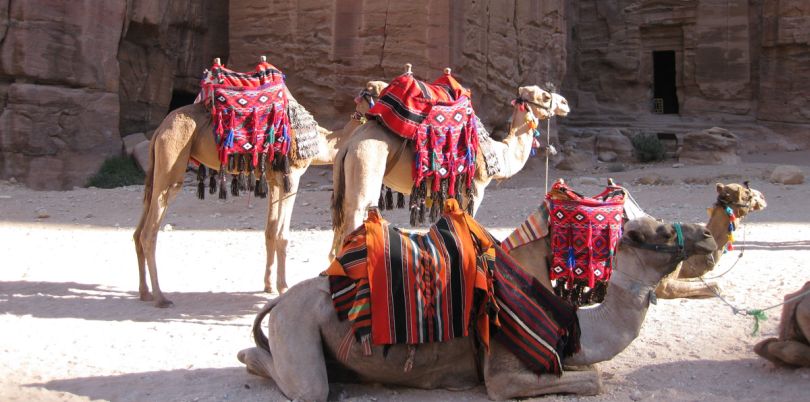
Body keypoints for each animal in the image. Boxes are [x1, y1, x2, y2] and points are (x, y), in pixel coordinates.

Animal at [133, 79, 386, 308]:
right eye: (378, 90)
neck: (322, 143)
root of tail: (160, 128)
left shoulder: (274, 182)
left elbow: (270, 231)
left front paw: (268, 285)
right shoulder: (292, 177)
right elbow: (283, 234)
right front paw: (283, 286)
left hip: (157, 166)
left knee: (138, 230)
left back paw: (144, 292)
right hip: (172, 158)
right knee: (149, 232)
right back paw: (160, 297)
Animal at [237, 215, 712, 400]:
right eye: (662, 232)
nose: (707, 234)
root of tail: (280, 300)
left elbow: (587, 369)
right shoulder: (500, 372)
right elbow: (593, 379)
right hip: (297, 324)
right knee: (306, 386)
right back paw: (248, 357)